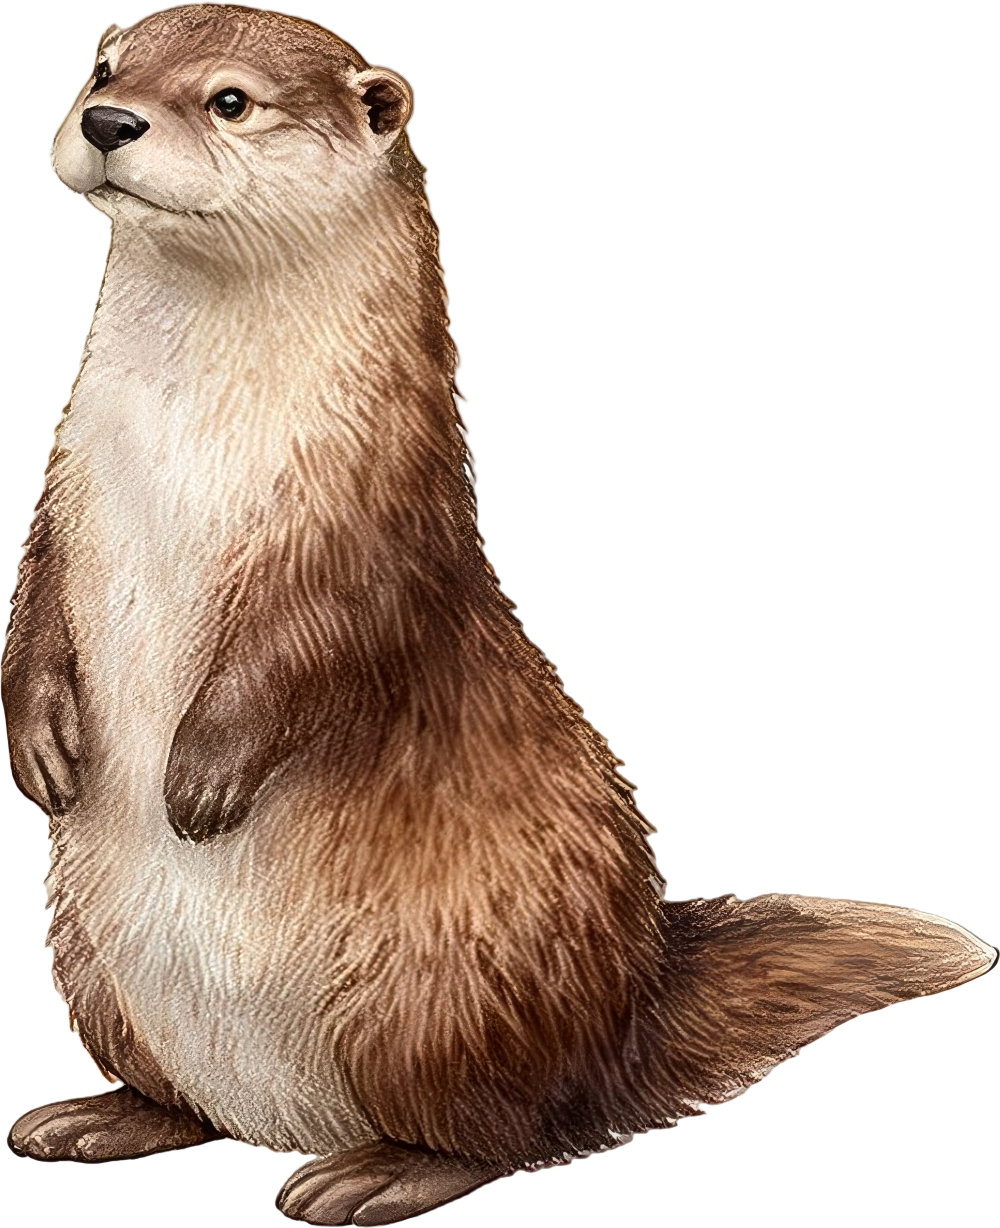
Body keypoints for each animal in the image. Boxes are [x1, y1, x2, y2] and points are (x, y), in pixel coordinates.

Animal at [3, 5, 994, 1225]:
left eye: (230, 99)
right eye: (105, 67)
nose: (108, 119)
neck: (179, 458)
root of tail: (630, 1010)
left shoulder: (370, 523)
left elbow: (318, 642)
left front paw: (201, 778)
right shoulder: (61, 493)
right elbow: (31, 607)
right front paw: (40, 744)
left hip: (438, 987)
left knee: (514, 1132)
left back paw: (374, 1174)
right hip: (92, 962)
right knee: (191, 1098)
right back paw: (99, 1117)